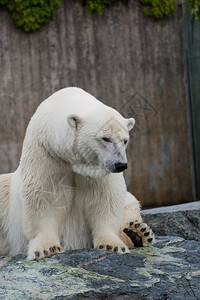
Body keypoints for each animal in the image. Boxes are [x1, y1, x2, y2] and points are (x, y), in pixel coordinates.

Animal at [0, 87, 155, 260]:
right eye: (105, 138)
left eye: (125, 140)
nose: (120, 164)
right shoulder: (46, 154)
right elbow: (43, 196)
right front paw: (47, 248)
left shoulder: (98, 172)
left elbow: (105, 198)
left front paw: (111, 245)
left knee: (130, 203)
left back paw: (136, 233)